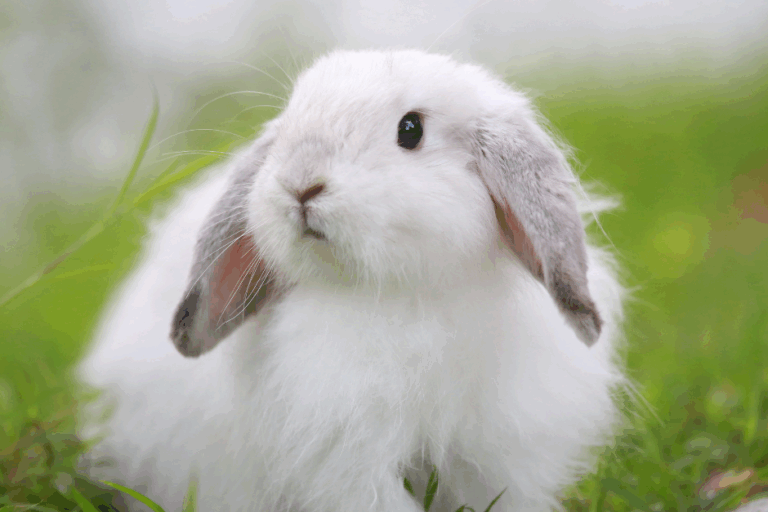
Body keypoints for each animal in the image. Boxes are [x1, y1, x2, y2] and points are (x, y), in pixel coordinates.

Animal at [78, 49, 626, 512]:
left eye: (411, 129)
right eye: (290, 122)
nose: (300, 184)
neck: (403, 294)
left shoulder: (500, 458)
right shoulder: (347, 462)